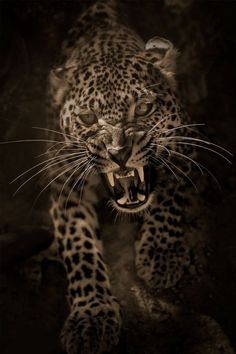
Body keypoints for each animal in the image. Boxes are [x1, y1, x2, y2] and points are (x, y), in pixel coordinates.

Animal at [46, 0, 210, 354]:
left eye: (144, 108)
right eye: (87, 118)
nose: (118, 152)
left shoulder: (186, 141)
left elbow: (169, 198)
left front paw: (160, 256)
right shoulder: (64, 182)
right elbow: (78, 248)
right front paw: (91, 318)